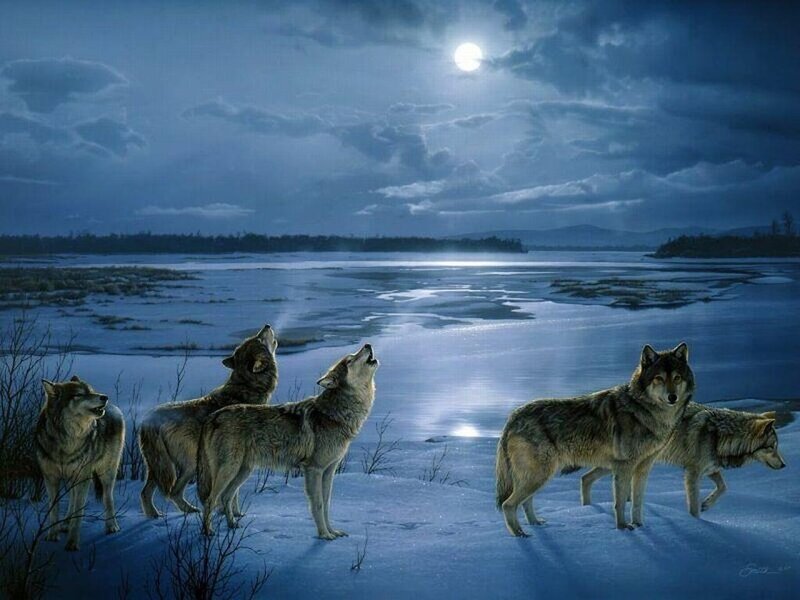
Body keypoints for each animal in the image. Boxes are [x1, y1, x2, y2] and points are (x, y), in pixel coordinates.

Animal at [36, 376, 124, 551]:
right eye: (80, 394)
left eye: (91, 391)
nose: (104, 397)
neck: (67, 441)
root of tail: (114, 408)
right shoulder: (50, 477)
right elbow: (54, 509)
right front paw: (52, 535)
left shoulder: (83, 477)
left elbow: (79, 512)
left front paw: (72, 543)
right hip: (72, 478)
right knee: (72, 497)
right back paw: (65, 523)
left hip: (107, 473)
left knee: (108, 498)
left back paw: (112, 526)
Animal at [139, 324, 278, 518]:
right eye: (258, 338)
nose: (267, 325)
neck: (247, 387)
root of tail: (149, 417)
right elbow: (232, 493)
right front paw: (229, 514)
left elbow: (233, 492)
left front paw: (236, 514)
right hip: (188, 465)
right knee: (173, 491)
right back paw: (188, 510)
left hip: (159, 467)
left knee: (146, 492)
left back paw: (155, 515)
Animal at [197, 343, 379, 539]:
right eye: (350, 359)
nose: (368, 345)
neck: (334, 414)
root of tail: (212, 416)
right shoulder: (314, 470)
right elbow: (318, 505)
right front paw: (324, 535)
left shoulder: (329, 471)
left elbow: (327, 505)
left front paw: (332, 532)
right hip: (229, 470)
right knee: (210, 500)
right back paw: (208, 533)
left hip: (243, 471)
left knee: (226, 497)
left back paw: (232, 525)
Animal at [496, 343, 694, 536]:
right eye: (659, 378)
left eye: (677, 378)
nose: (672, 397)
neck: (643, 410)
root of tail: (512, 417)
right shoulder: (624, 467)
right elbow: (620, 503)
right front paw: (623, 528)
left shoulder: (643, 468)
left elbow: (637, 503)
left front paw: (639, 525)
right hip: (540, 475)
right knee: (508, 504)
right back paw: (520, 534)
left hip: (540, 476)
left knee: (525, 502)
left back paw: (535, 524)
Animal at [579, 403, 785, 517]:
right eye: (772, 447)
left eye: (777, 446)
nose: (784, 465)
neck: (720, 436)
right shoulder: (692, 474)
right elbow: (693, 506)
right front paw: (697, 521)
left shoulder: (710, 469)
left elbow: (723, 487)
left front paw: (706, 504)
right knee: (585, 478)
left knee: (587, 478)